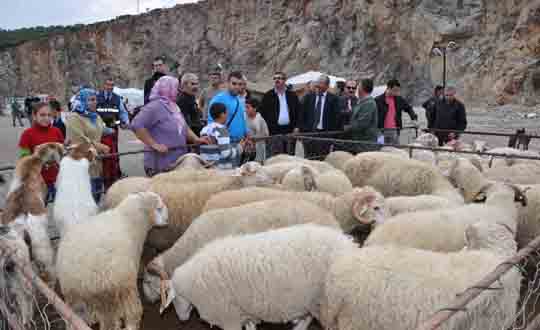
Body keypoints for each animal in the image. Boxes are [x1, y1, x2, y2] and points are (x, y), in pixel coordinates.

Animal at [56, 192, 168, 330]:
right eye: (159, 208)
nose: (167, 220)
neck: (128, 220)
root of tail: (86, 281)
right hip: (115, 293)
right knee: (124, 318)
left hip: (74, 300)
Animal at [160, 224, 356, 330]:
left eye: (173, 299)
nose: (182, 319)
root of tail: (347, 243)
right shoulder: (242, 311)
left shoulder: (228, 316)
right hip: (311, 299)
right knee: (308, 316)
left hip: (326, 301)